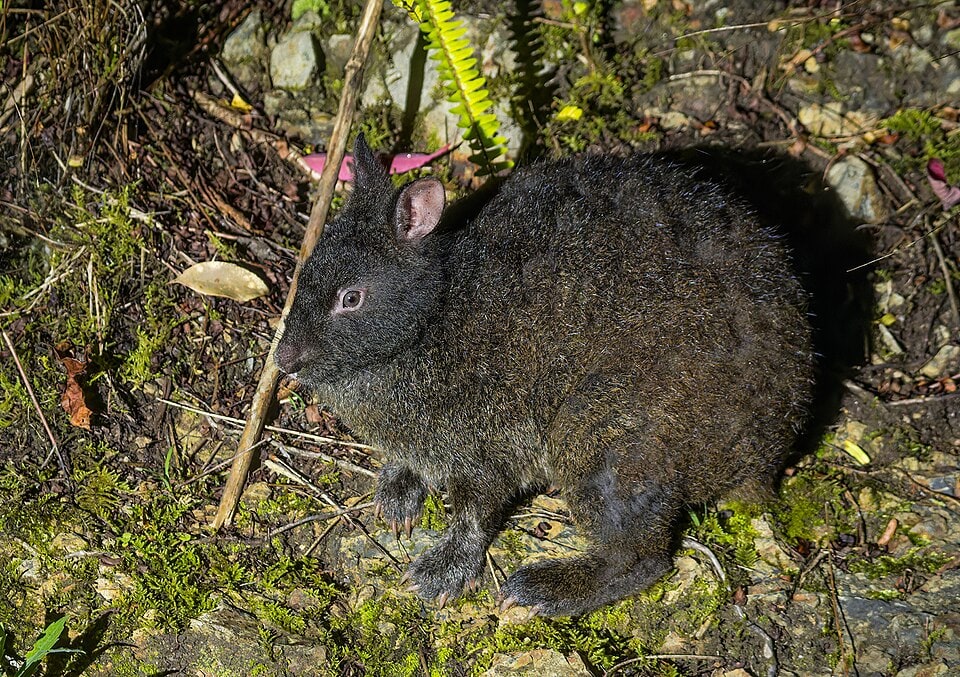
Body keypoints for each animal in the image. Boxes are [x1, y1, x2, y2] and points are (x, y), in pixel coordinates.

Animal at [275, 134, 814, 616]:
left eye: (351, 298)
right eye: (304, 270)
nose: (283, 360)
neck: (430, 321)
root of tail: (770, 450)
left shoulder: (486, 446)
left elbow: (473, 517)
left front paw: (442, 573)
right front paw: (396, 493)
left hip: (599, 435)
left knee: (642, 559)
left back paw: (546, 589)